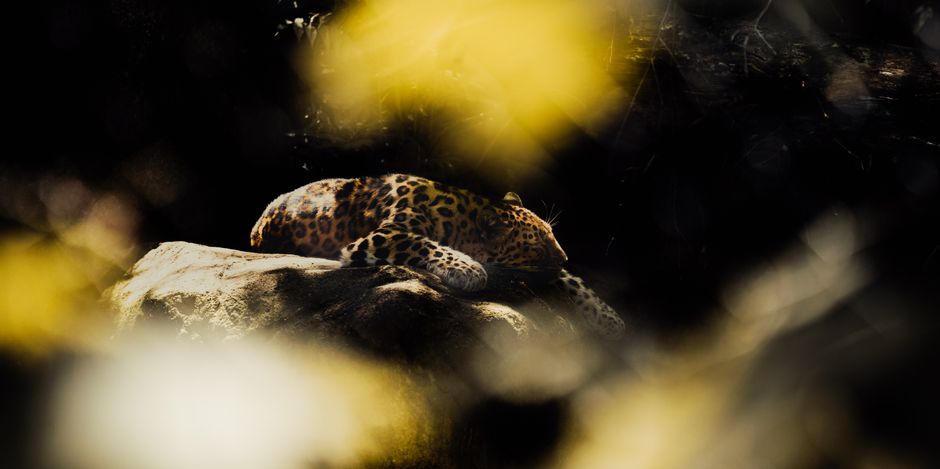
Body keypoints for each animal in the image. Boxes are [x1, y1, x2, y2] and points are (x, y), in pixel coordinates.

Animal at [250, 174, 626, 339]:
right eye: (535, 244)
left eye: (552, 233)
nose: (563, 258)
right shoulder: (382, 237)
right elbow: (424, 243)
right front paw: (470, 269)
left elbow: (575, 283)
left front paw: (609, 318)